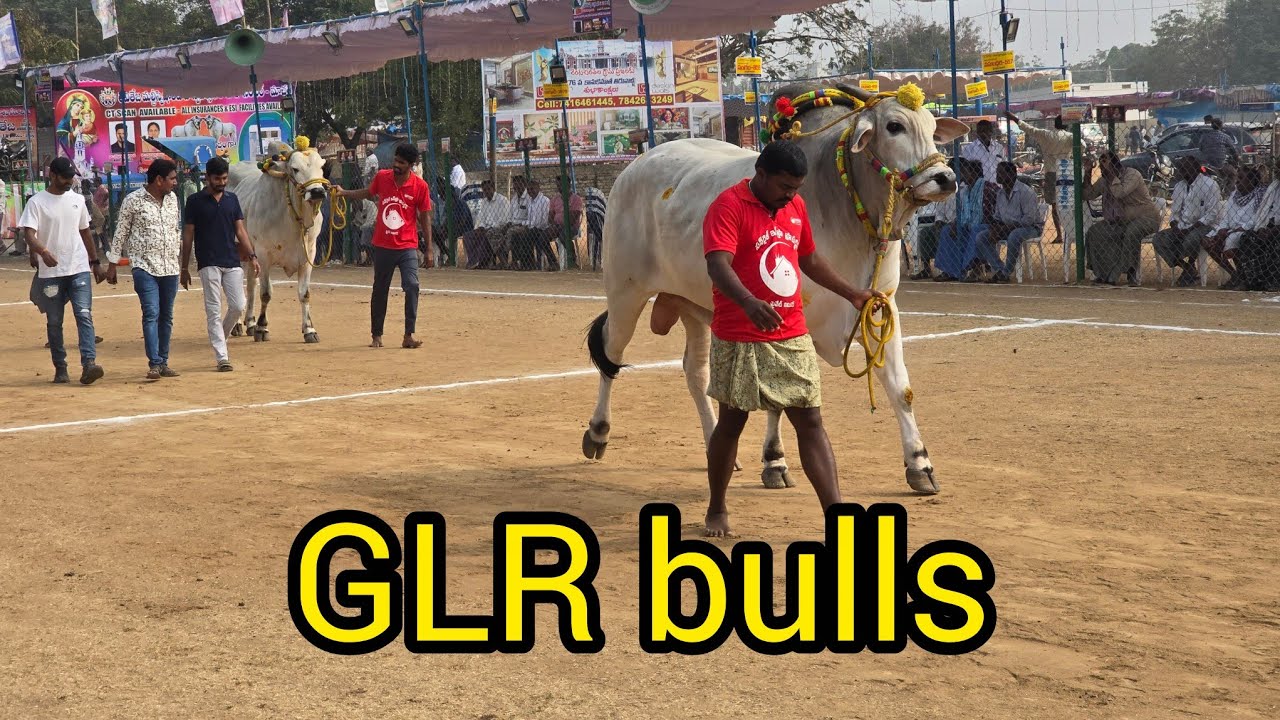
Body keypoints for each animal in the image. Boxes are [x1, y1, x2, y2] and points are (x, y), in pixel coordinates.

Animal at [227, 137, 330, 343]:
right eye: (295, 169)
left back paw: (250, 322)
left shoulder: (309, 254)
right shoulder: (264, 254)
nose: (317, 192)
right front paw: (262, 328)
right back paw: (238, 325)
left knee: (251, 286)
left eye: (322, 166)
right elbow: (266, 293)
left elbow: (304, 293)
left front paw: (309, 329)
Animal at [581, 83, 968, 495]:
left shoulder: (880, 308)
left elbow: (901, 390)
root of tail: (635, 166)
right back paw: (598, 432)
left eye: (932, 128)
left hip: (692, 305)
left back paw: (714, 443)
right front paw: (774, 461)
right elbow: (779, 394)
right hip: (625, 292)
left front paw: (920, 464)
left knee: (695, 372)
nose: (945, 177)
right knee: (611, 352)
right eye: (894, 126)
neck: (847, 206)